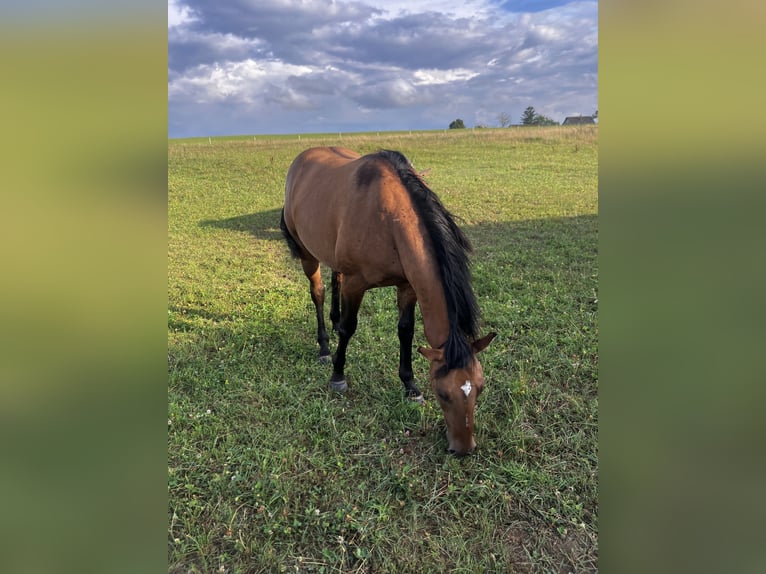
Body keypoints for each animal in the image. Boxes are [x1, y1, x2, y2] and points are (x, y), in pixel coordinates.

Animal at [280, 146, 496, 456]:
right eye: (442, 392)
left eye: (480, 386)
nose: (463, 448)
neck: (389, 219)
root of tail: (302, 158)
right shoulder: (357, 283)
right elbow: (349, 329)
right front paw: (338, 375)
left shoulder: (407, 286)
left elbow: (405, 331)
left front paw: (410, 385)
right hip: (307, 253)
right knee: (317, 293)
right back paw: (323, 346)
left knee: (335, 280)